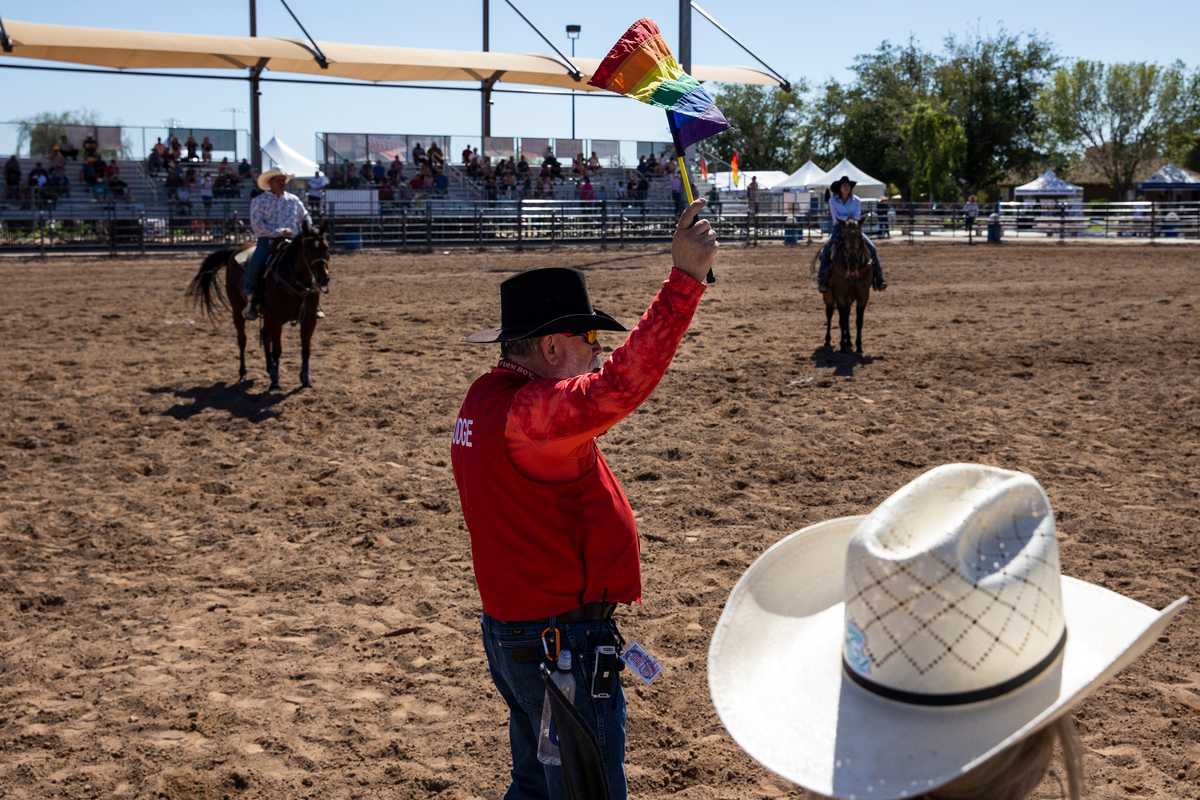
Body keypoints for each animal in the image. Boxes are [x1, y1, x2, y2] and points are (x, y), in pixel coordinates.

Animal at [184, 221, 331, 391]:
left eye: (326, 247)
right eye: (307, 249)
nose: (324, 278)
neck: (295, 282)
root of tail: (234, 251)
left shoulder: (308, 320)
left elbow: (306, 349)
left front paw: (305, 379)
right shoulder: (276, 319)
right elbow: (277, 350)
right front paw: (275, 383)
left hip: (266, 316)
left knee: (265, 336)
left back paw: (270, 368)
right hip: (237, 310)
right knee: (242, 339)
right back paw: (243, 372)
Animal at [816, 220, 873, 355]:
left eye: (859, 236)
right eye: (844, 237)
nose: (852, 261)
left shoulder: (863, 296)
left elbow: (858, 321)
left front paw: (859, 346)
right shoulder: (840, 295)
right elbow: (841, 320)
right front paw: (842, 346)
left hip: (849, 298)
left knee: (846, 316)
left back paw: (849, 342)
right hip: (829, 296)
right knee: (830, 315)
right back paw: (828, 341)